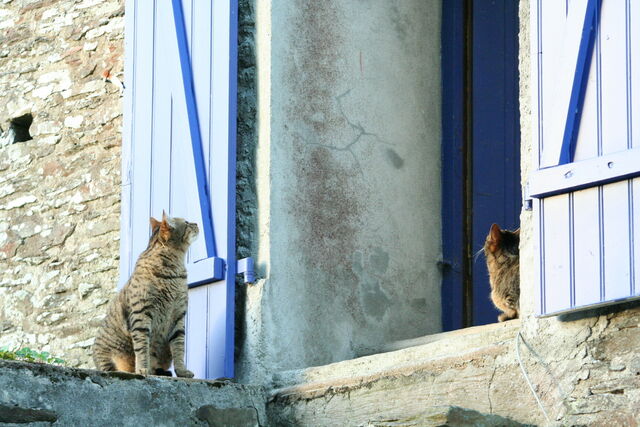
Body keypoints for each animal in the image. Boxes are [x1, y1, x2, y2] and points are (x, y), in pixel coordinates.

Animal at [93, 211, 198, 377]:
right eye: (187, 223)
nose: (196, 223)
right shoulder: (141, 315)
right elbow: (142, 347)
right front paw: (142, 368)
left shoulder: (178, 316)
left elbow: (179, 347)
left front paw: (182, 371)